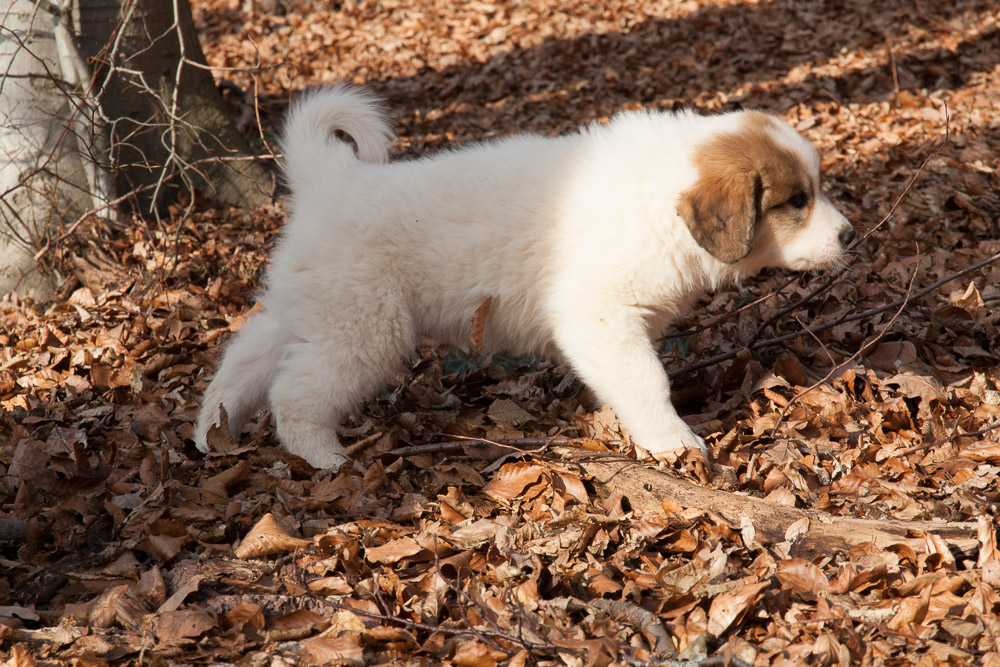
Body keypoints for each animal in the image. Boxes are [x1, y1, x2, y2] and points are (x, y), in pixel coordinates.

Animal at [193, 86, 852, 470]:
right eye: (797, 201)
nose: (849, 235)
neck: (660, 202)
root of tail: (331, 180)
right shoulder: (598, 317)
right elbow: (647, 381)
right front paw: (673, 443)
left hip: (310, 308)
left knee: (245, 357)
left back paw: (209, 432)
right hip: (364, 329)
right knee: (295, 391)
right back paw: (322, 456)